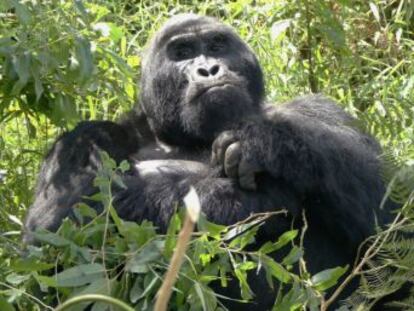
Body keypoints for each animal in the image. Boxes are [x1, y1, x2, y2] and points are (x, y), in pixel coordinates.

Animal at [23, 14, 394, 310]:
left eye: (217, 46)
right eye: (182, 53)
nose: (208, 69)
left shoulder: (319, 108)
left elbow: (387, 210)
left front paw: (265, 141)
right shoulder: (83, 138)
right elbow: (59, 236)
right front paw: (257, 197)